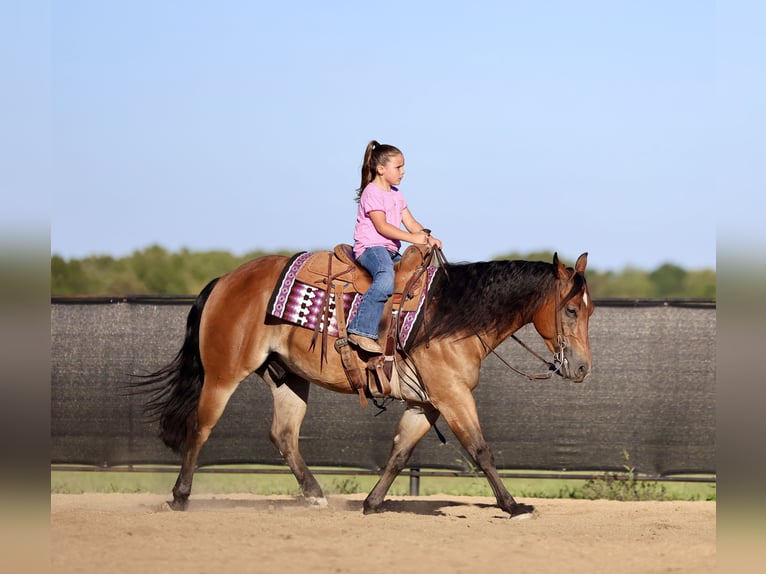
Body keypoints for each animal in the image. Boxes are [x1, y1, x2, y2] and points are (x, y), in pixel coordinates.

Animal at [135, 248, 594, 518]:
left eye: (589, 310)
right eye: (571, 310)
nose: (583, 368)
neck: (451, 315)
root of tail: (225, 281)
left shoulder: (426, 403)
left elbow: (399, 453)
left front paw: (372, 503)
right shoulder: (452, 396)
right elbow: (480, 450)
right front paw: (513, 505)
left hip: (288, 379)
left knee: (283, 434)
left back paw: (315, 493)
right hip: (223, 373)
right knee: (200, 428)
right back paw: (180, 495)